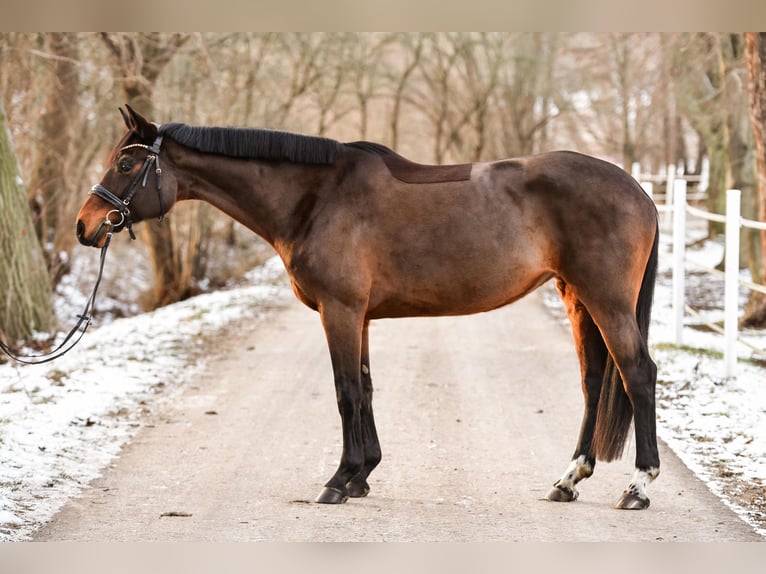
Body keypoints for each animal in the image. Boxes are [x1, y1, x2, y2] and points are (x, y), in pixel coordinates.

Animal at [79, 106, 664, 510]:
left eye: (126, 162)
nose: (85, 227)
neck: (314, 197)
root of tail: (638, 189)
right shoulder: (357, 315)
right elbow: (364, 387)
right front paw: (363, 475)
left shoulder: (338, 310)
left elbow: (345, 392)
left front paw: (339, 481)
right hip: (576, 298)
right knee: (594, 380)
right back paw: (568, 479)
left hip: (606, 300)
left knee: (637, 374)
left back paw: (638, 487)